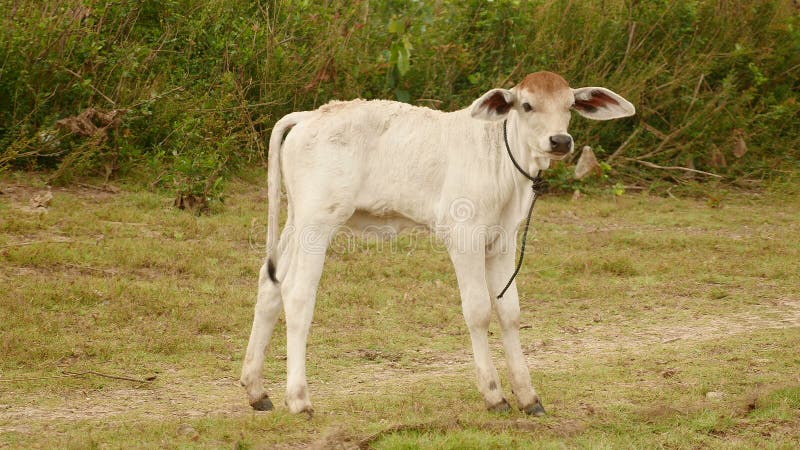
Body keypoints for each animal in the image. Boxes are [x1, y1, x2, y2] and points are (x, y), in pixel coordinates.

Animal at [238, 71, 632, 414]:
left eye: (569, 105)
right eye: (527, 105)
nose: (560, 141)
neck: (499, 160)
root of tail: (309, 115)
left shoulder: (503, 241)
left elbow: (509, 312)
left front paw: (528, 396)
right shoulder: (464, 237)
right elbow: (478, 311)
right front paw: (494, 395)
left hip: (296, 222)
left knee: (270, 285)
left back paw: (257, 390)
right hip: (318, 223)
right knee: (297, 293)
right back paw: (299, 399)